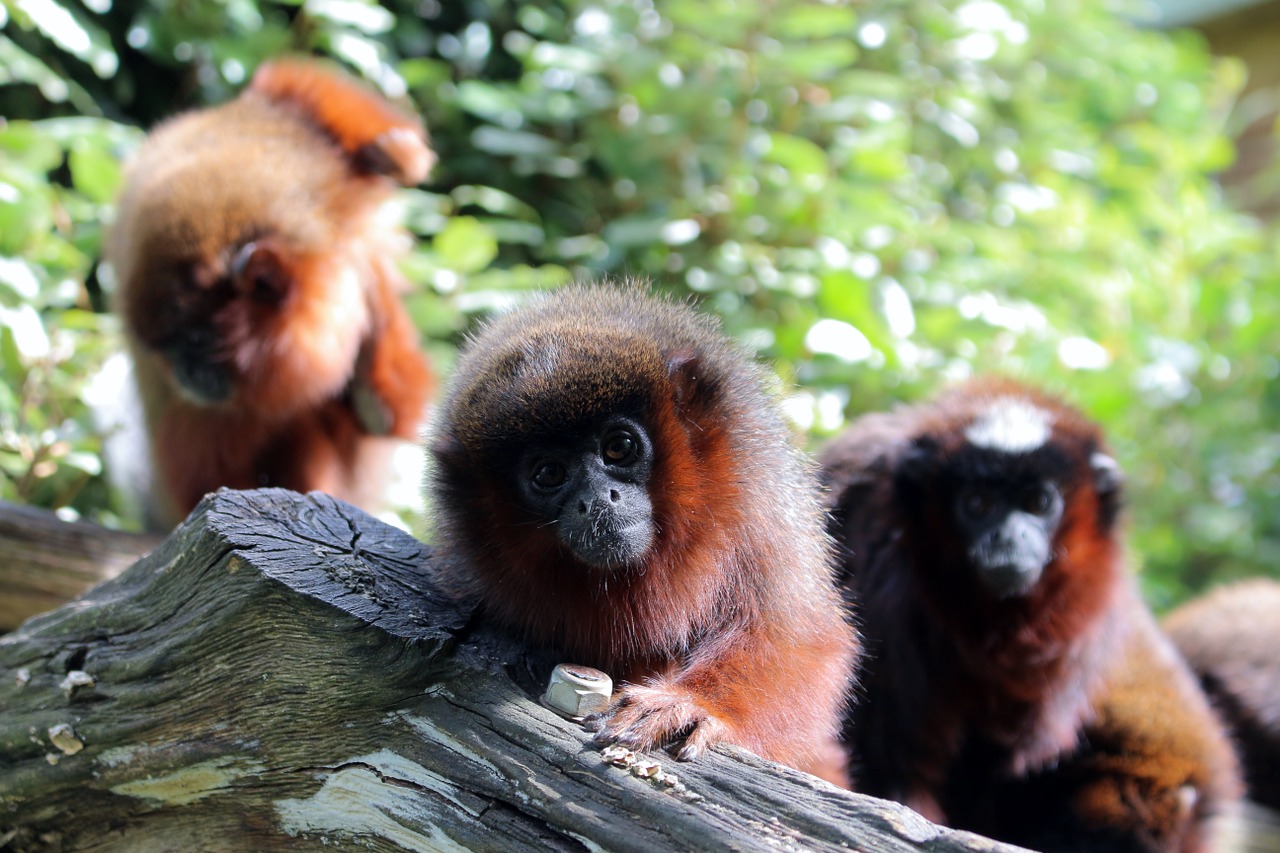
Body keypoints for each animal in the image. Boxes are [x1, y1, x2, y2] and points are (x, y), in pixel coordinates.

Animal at [427, 284, 860, 778]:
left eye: (619, 448)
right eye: (549, 474)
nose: (597, 499)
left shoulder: (760, 504)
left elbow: (797, 638)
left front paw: (692, 703)